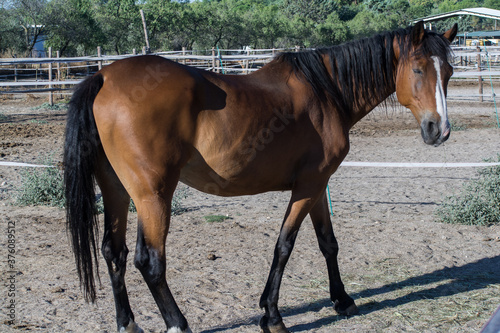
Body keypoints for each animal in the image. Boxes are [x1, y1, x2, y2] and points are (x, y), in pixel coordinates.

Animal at [65, 21, 458, 332]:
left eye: (449, 72)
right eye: (418, 69)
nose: (439, 130)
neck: (325, 92)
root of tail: (103, 76)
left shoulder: (319, 186)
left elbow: (327, 243)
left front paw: (343, 300)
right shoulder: (308, 186)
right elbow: (284, 246)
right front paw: (272, 316)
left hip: (117, 189)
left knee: (114, 253)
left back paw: (128, 324)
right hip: (153, 195)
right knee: (150, 261)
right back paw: (178, 324)